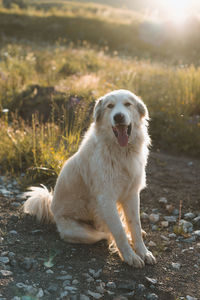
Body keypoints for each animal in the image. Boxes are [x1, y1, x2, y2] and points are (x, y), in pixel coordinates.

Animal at [23, 88, 156, 268]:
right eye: (110, 106)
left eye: (128, 104)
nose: (118, 116)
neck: (120, 152)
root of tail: (51, 207)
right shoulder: (106, 199)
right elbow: (119, 231)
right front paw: (130, 256)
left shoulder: (131, 194)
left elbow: (134, 224)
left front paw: (143, 252)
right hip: (84, 232)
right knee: (105, 233)